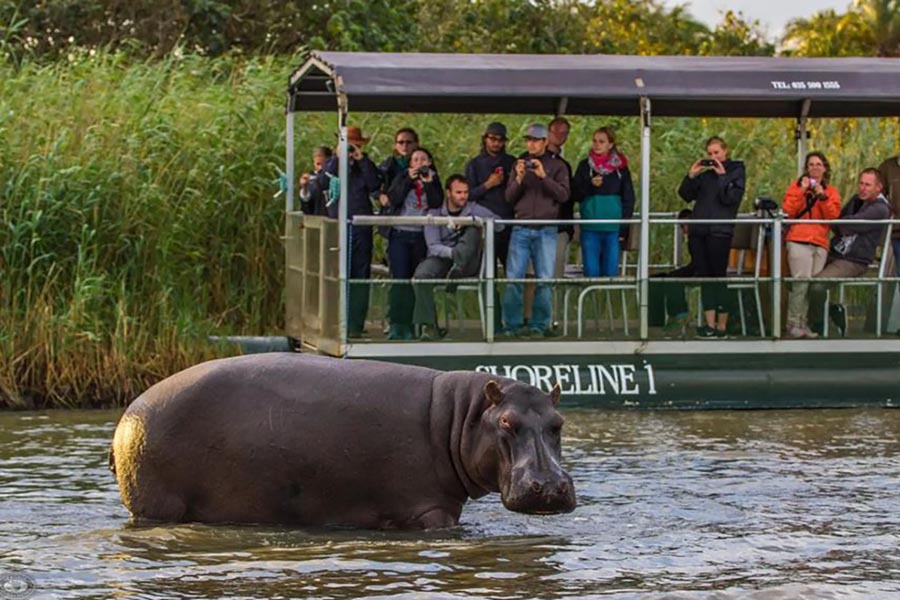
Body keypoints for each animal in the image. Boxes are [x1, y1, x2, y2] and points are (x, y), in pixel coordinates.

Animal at [110, 354, 576, 529]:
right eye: (508, 423)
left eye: (558, 422)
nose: (550, 486)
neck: (461, 416)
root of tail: (125, 418)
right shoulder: (430, 509)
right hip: (159, 506)